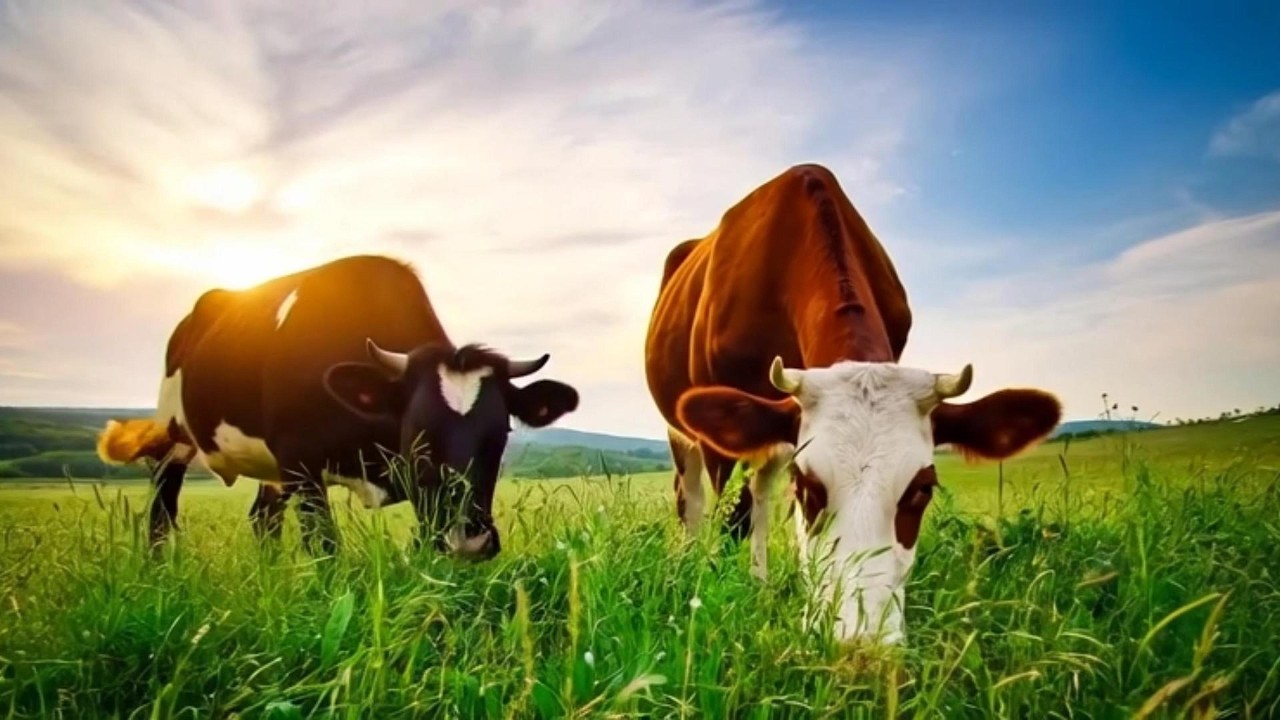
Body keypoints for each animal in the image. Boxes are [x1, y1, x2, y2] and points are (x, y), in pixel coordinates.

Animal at [97, 254, 580, 558]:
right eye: (416, 432)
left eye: (500, 435)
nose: (468, 541)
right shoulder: (301, 461)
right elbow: (326, 548)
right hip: (172, 431)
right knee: (162, 510)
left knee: (262, 519)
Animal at [644, 164, 1061, 645]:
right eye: (807, 487)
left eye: (923, 488)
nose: (860, 640)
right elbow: (731, 517)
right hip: (683, 433)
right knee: (694, 499)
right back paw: (689, 565)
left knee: (759, 492)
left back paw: (761, 583)